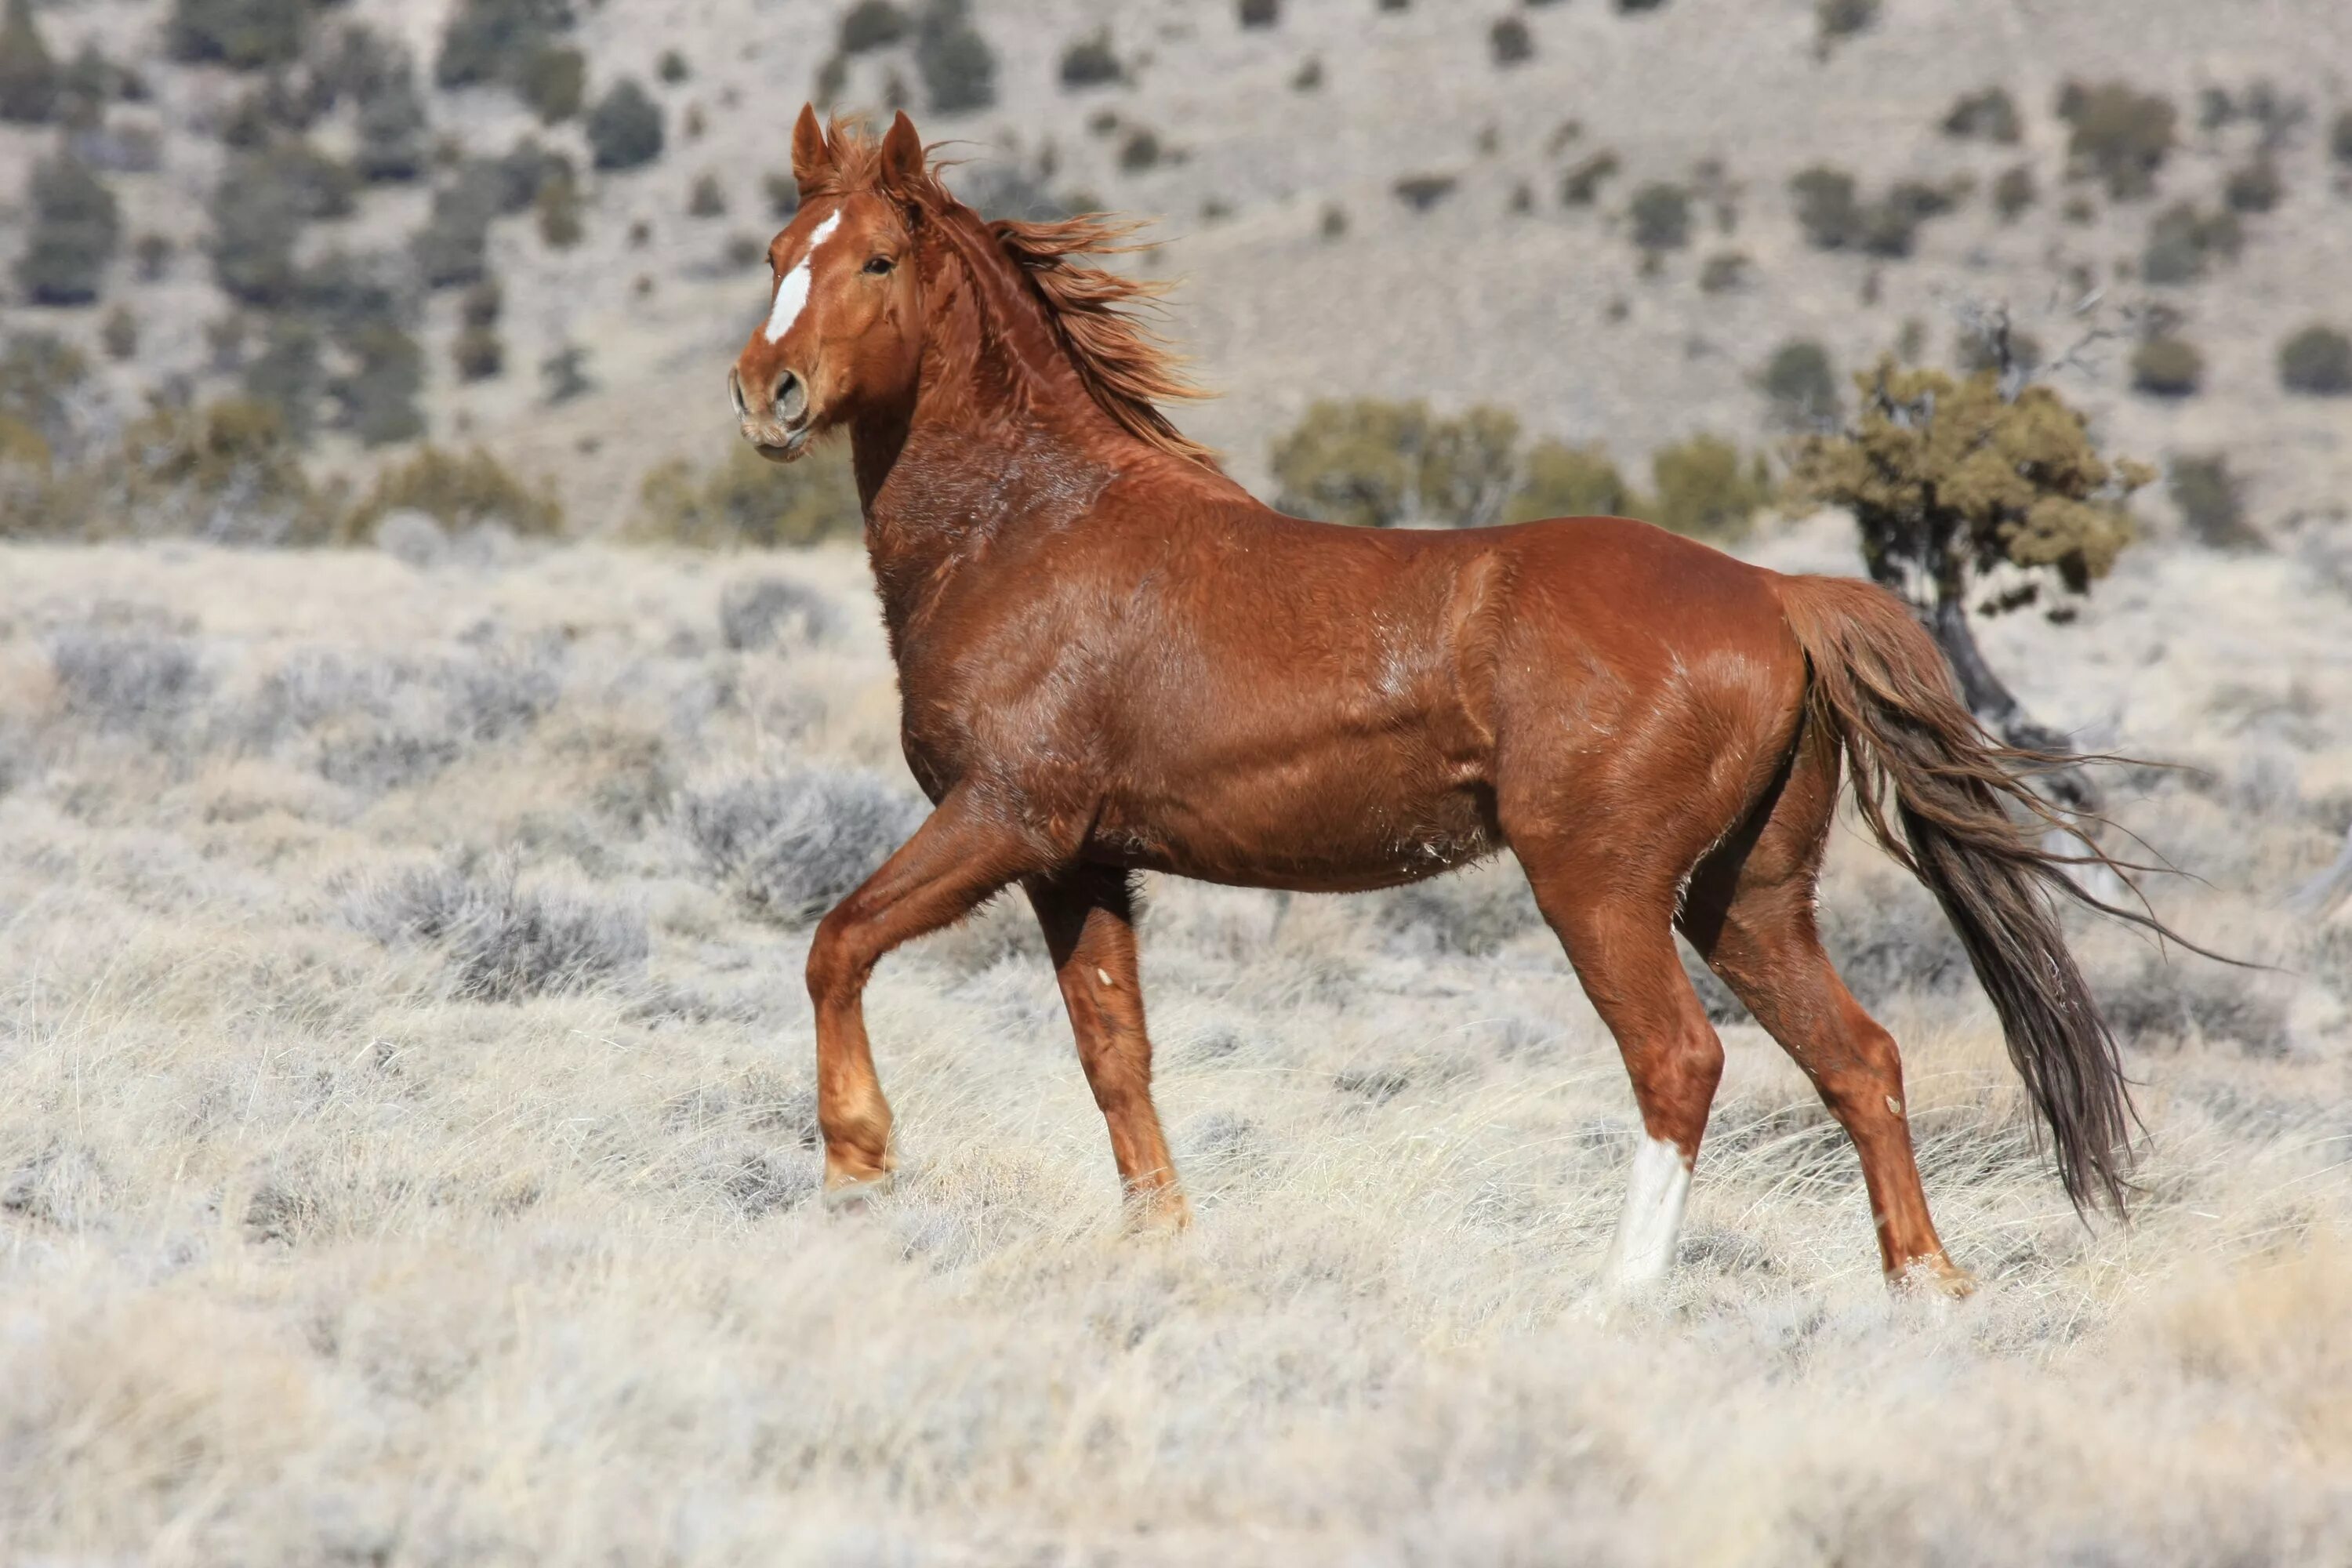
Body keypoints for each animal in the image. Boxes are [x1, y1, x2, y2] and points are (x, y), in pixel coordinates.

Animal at [729, 107, 2154, 1288]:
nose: (764, 393)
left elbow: (836, 941)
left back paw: (1619, 1299)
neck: (1034, 529)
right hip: (1745, 898)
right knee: (1859, 1060)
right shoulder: (1079, 862)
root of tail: (1774, 591)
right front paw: (1160, 1239)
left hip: (1601, 885)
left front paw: (857, 1168)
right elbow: (1114, 1053)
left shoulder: (1005, 818)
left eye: (875, 261)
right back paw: (1929, 1289)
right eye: (776, 250)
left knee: (1681, 1061)